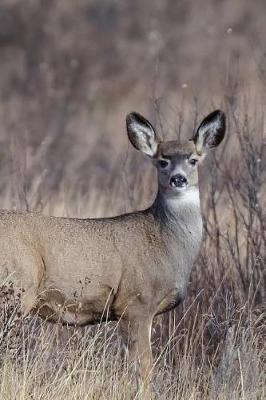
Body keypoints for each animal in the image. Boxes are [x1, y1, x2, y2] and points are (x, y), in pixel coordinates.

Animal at [0, 109, 225, 396]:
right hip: (17, 288)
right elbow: (144, 368)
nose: (178, 179)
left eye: (193, 160)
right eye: (162, 161)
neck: (166, 241)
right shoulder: (135, 302)